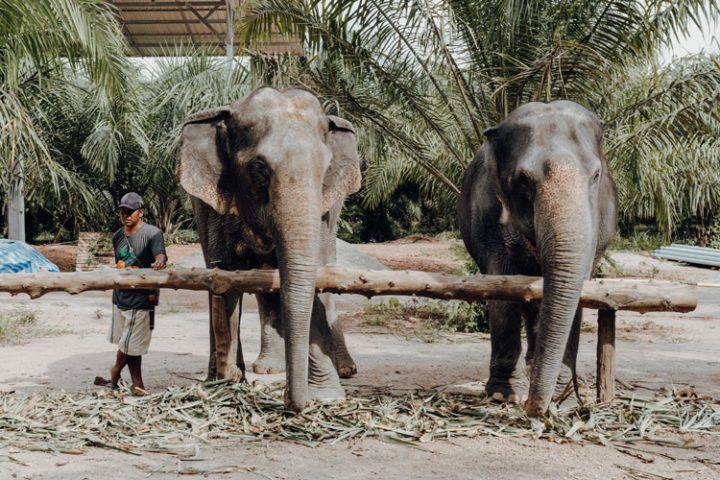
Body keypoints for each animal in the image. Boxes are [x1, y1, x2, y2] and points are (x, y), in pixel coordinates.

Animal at [177, 87, 361, 409]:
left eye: (326, 169)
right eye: (259, 168)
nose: (290, 400)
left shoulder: (324, 211)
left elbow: (314, 276)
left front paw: (327, 396)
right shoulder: (213, 205)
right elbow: (223, 277)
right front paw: (226, 384)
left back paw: (344, 369)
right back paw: (264, 370)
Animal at [457, 100, 618, 417]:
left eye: (596, 176)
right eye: (523, 181)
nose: (535, 409)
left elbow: (576, 289)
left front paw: (562, 398)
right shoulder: (488, 215)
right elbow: (501, 285)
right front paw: (502, 396)